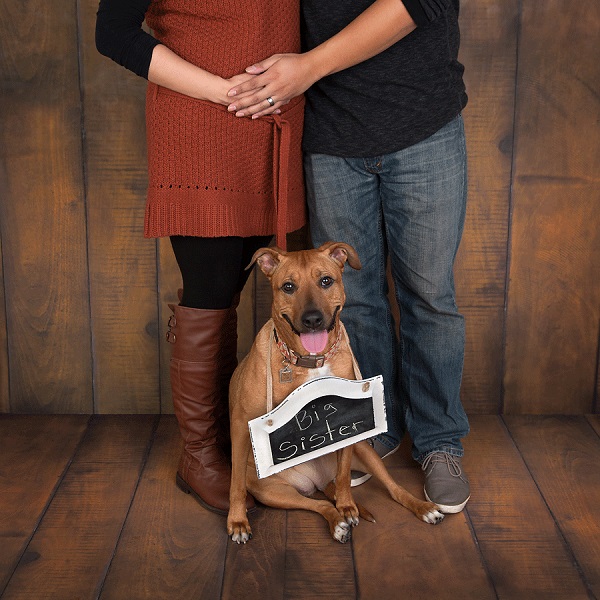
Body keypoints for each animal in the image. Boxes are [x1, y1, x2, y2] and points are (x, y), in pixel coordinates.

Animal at [225, 240, 440, 544]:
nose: (313, 319)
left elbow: (344, 475)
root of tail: (317, 479)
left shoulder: (349, 427)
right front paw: (237, 521)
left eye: (326, 281)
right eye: (288, 286)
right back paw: (337, 521)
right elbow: (235, 485)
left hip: (367, 451)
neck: (311, 360)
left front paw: (348, 506)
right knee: (319, 504)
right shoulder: (242, 426)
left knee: (389, 488)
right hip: (274, 492)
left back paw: (419, 508)